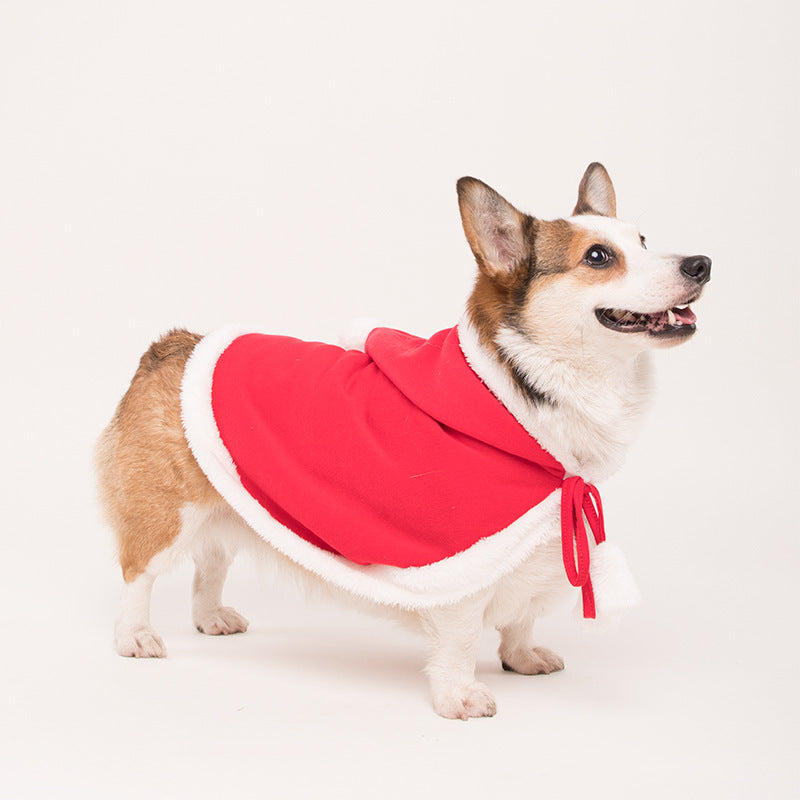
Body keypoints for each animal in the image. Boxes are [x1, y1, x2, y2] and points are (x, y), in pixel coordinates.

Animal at [97, 162, 708, 720]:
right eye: (598, 257)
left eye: (643, 240)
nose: (702, 263)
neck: (527, 391)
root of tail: (174, 346)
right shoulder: (458, 556)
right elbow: (462, 636)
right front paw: (459, 696)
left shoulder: (535, 534)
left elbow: (520, 615)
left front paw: (522, 655)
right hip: (167, 513)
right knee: (136, 574)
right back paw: (134, 637)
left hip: (230, 500)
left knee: (212, 563)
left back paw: (210, 618)